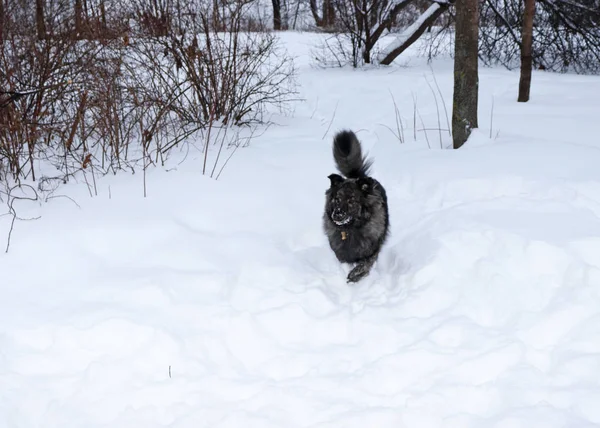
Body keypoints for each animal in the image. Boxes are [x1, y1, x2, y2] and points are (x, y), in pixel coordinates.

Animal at [324, 130, 390, 284]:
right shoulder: (340, 253)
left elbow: (364, 264)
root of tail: (356, 177)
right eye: (337, 199)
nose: (337, 215)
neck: (350, 230)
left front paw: (355, 275)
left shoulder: (372, 250)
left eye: (351, 200)